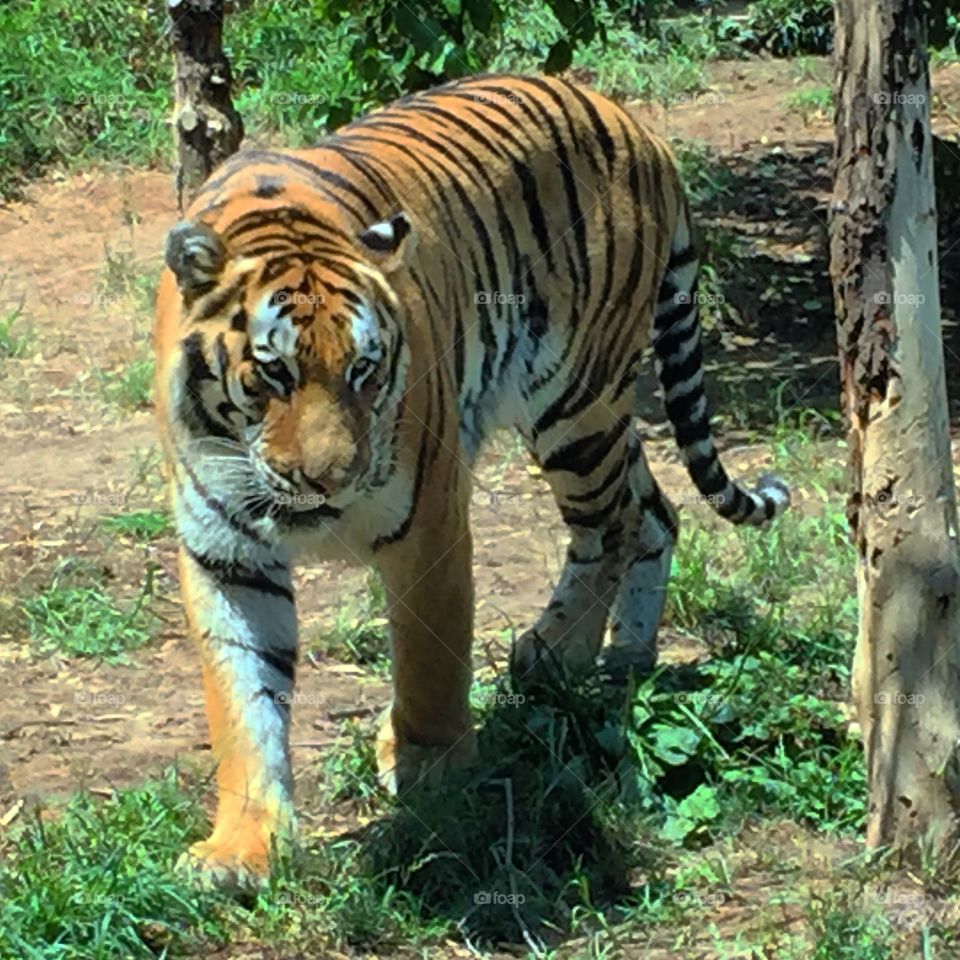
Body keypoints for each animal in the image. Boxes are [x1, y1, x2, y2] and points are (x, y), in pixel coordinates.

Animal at [154, 73, 789, 888]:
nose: (329, 480)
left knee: (611, 527)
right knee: (655, 513)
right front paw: (242, 846)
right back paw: (623, 658)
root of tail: (633, 123)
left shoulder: (429, 519)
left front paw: (431, 775)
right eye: (274, 372)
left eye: (363, 371)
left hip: (575, 401)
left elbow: (430, 661)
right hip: (597, 416)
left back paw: (556, 655)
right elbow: (242, 698)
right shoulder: (225, 550)